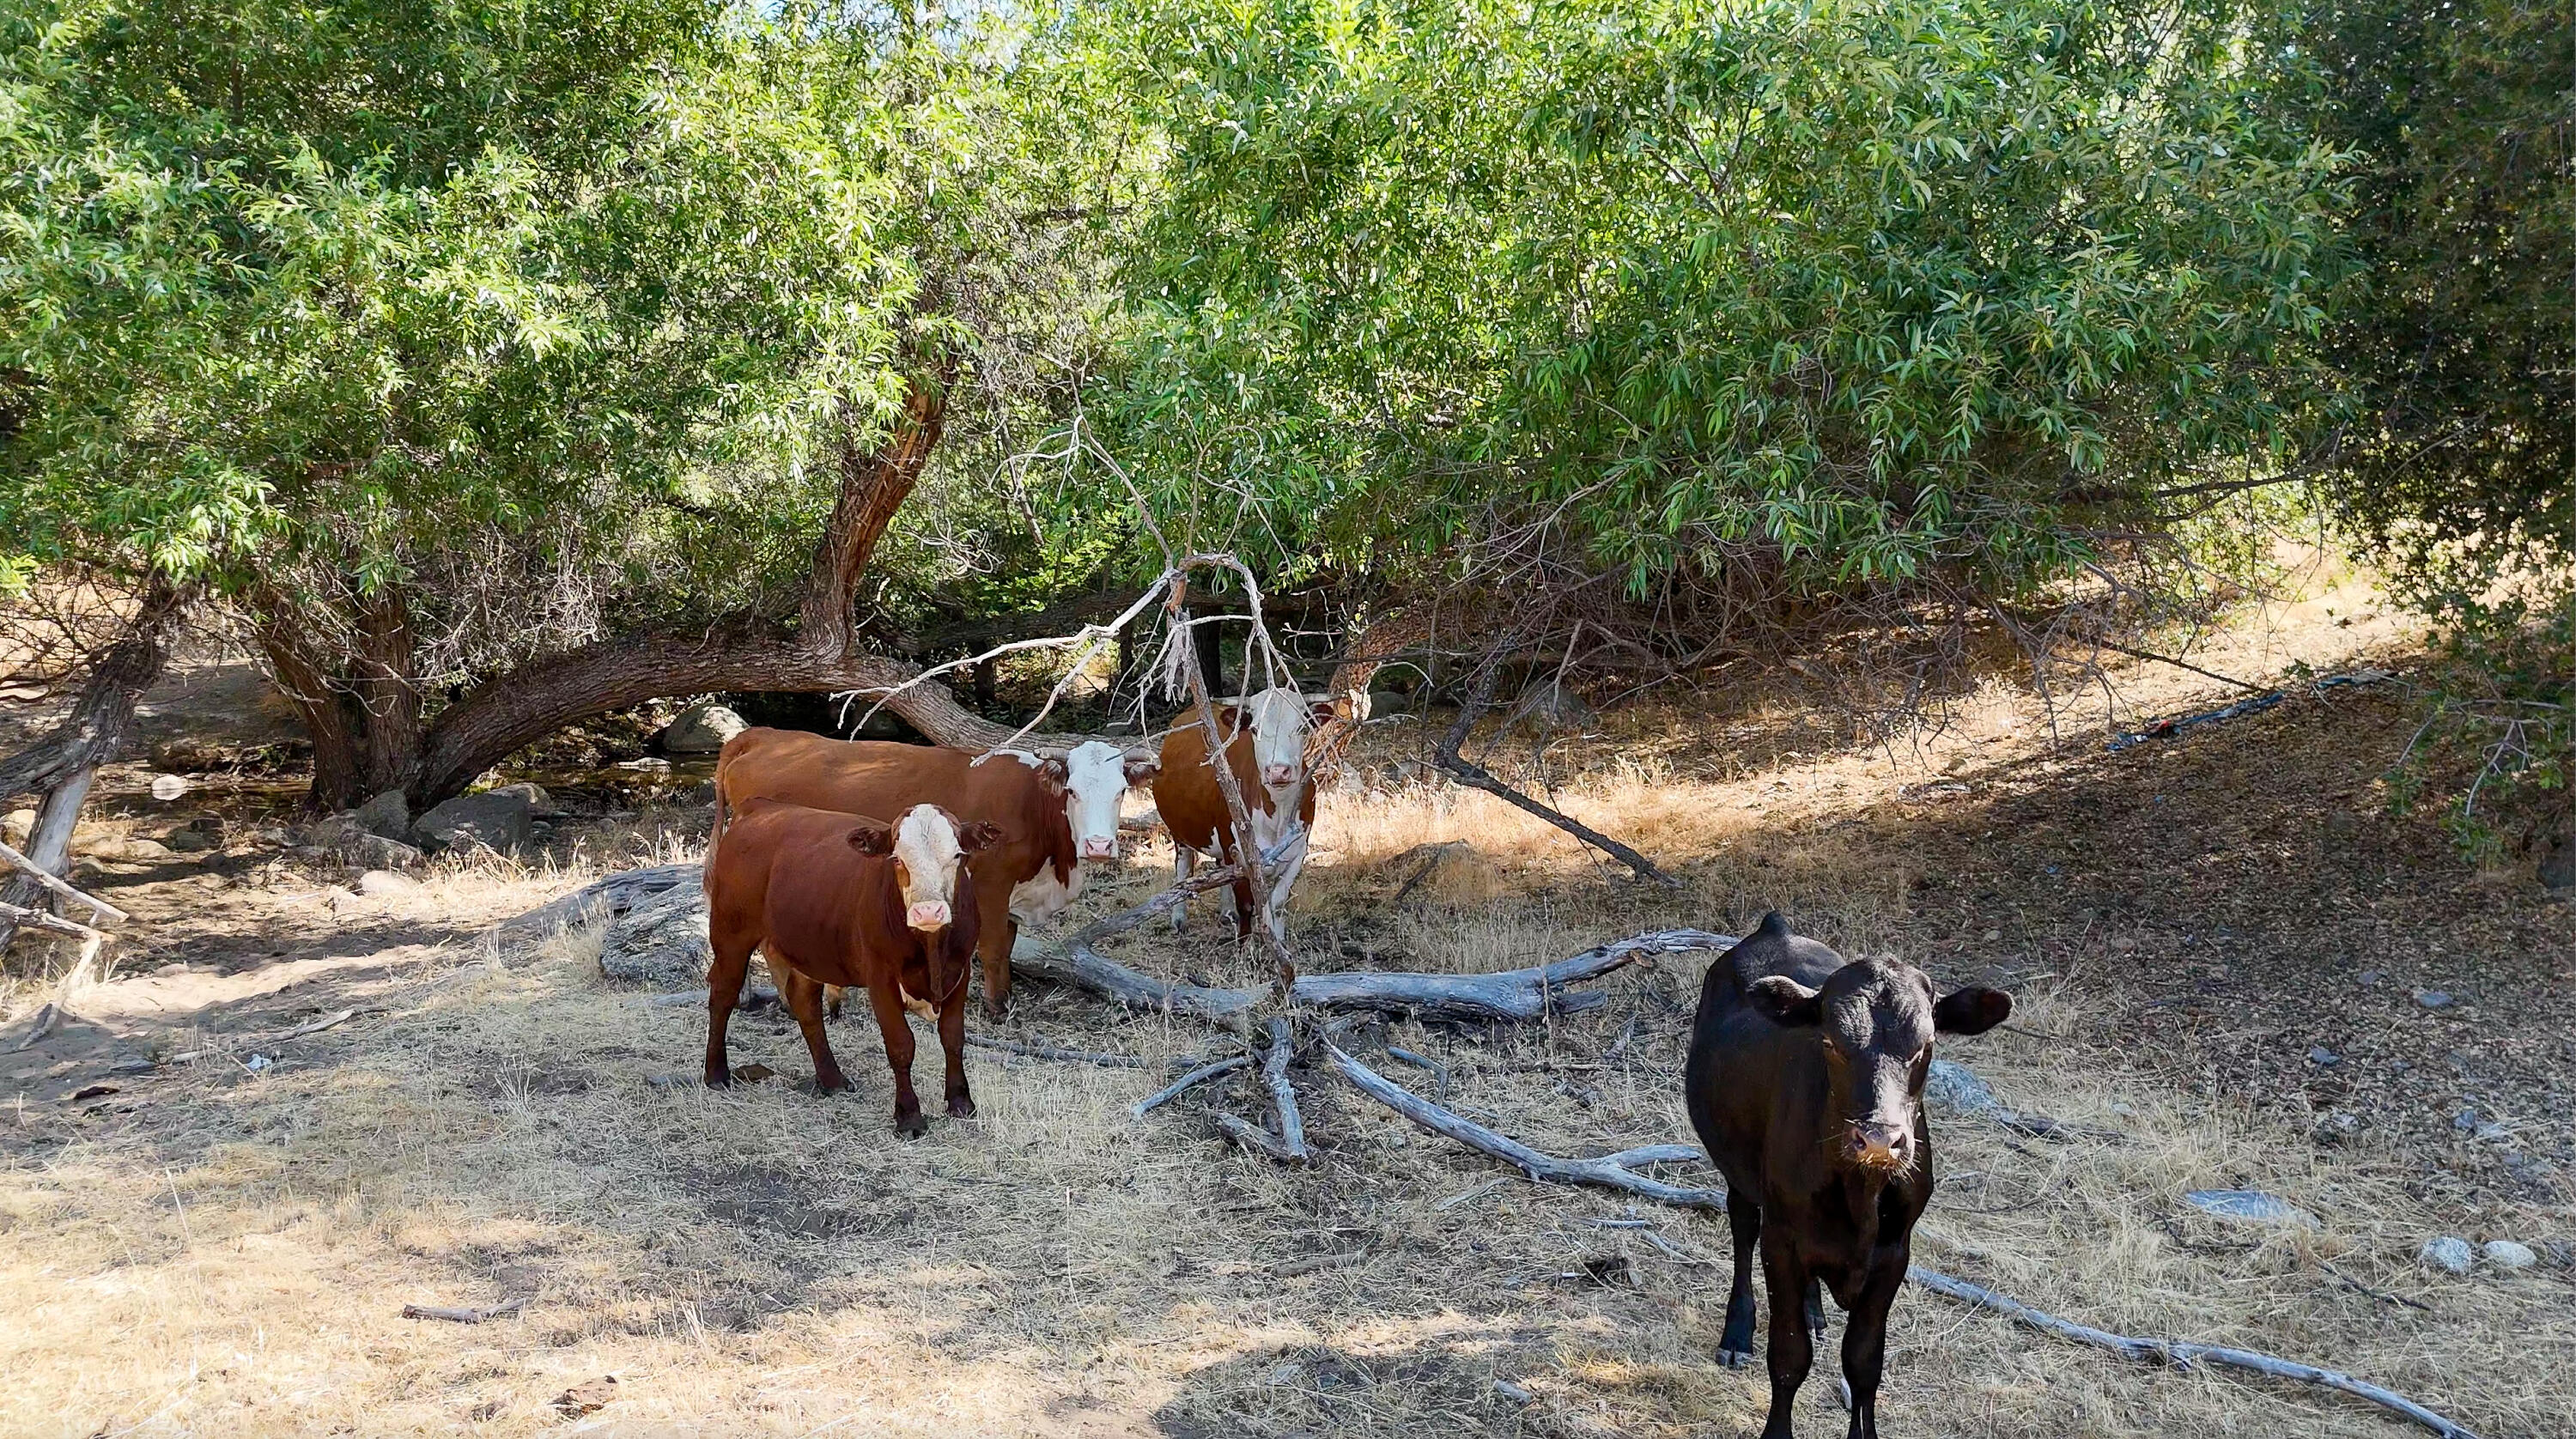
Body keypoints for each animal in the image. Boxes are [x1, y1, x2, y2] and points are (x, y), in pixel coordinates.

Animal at [703, 798, 1001, 1134]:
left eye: (958, 856)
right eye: (897, 860)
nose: (928, 912)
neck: (932, 950)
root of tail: (760, 807)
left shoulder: (960, 971)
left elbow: (952, 1038)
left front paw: (961, 1102)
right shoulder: (881, 977)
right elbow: (901, 1045)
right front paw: (909, 1116)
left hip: (810, 948)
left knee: (804, 1003)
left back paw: (831, 1078)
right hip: (731, 934)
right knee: (723, 995)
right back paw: (716, 1073)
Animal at [713, 728, 1159, 1016]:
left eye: (1121, 790)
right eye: (1072, 791)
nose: (1098, 845)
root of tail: (764, 736)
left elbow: (1008, 946)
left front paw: (1006, 998)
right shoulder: (991, 885)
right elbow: (993, 948)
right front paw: (996, 1008)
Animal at [1151, 685, 1347, 943]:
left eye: (1302, 728)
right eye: (1255, 729)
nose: (1279, 771)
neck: (1277, 815)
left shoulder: (1298, 852)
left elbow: (1277, 903)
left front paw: (1278, 941)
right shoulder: (1240, 851)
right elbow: (1246, 904)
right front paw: (1245, 945)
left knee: (1221, 867)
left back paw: (1226, 914)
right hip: (1180, 831)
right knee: (1183, 867)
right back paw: (1179, 919)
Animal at [1684, 912, 2012, 1439]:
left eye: (1926, 1046)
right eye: (1830, 1042)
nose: (1879, 1139)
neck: (1860, 1194)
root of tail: (1774, 927)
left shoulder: (1894, 1252)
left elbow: (1863, 1362)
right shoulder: (1782, 1240)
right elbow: (1789, 1355)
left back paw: (1815, 1310)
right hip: (1738, 1168)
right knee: (1741, 1226)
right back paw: (1737, 1331)